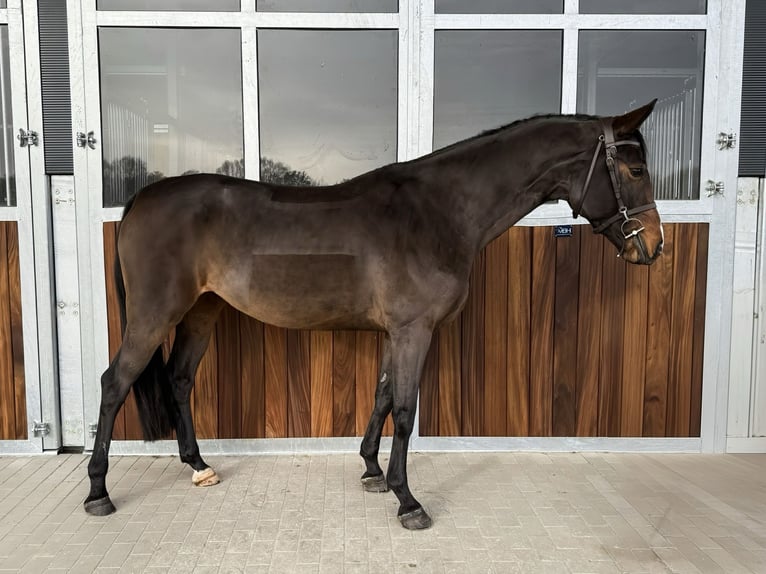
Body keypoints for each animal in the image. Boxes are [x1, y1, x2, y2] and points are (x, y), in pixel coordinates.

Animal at [84, 100, 663, 530]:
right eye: (634, 169)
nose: (653, 247)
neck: (439, 211)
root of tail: (141, 198)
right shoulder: (414, 331)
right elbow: (405, 410)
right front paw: (409, 501)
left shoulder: (398, 332)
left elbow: (383, 395)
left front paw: (372, 472)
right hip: (155, 314)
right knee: (115, 383)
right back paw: (98, 492)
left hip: (201, 312)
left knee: (179, 379)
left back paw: (199, 467)